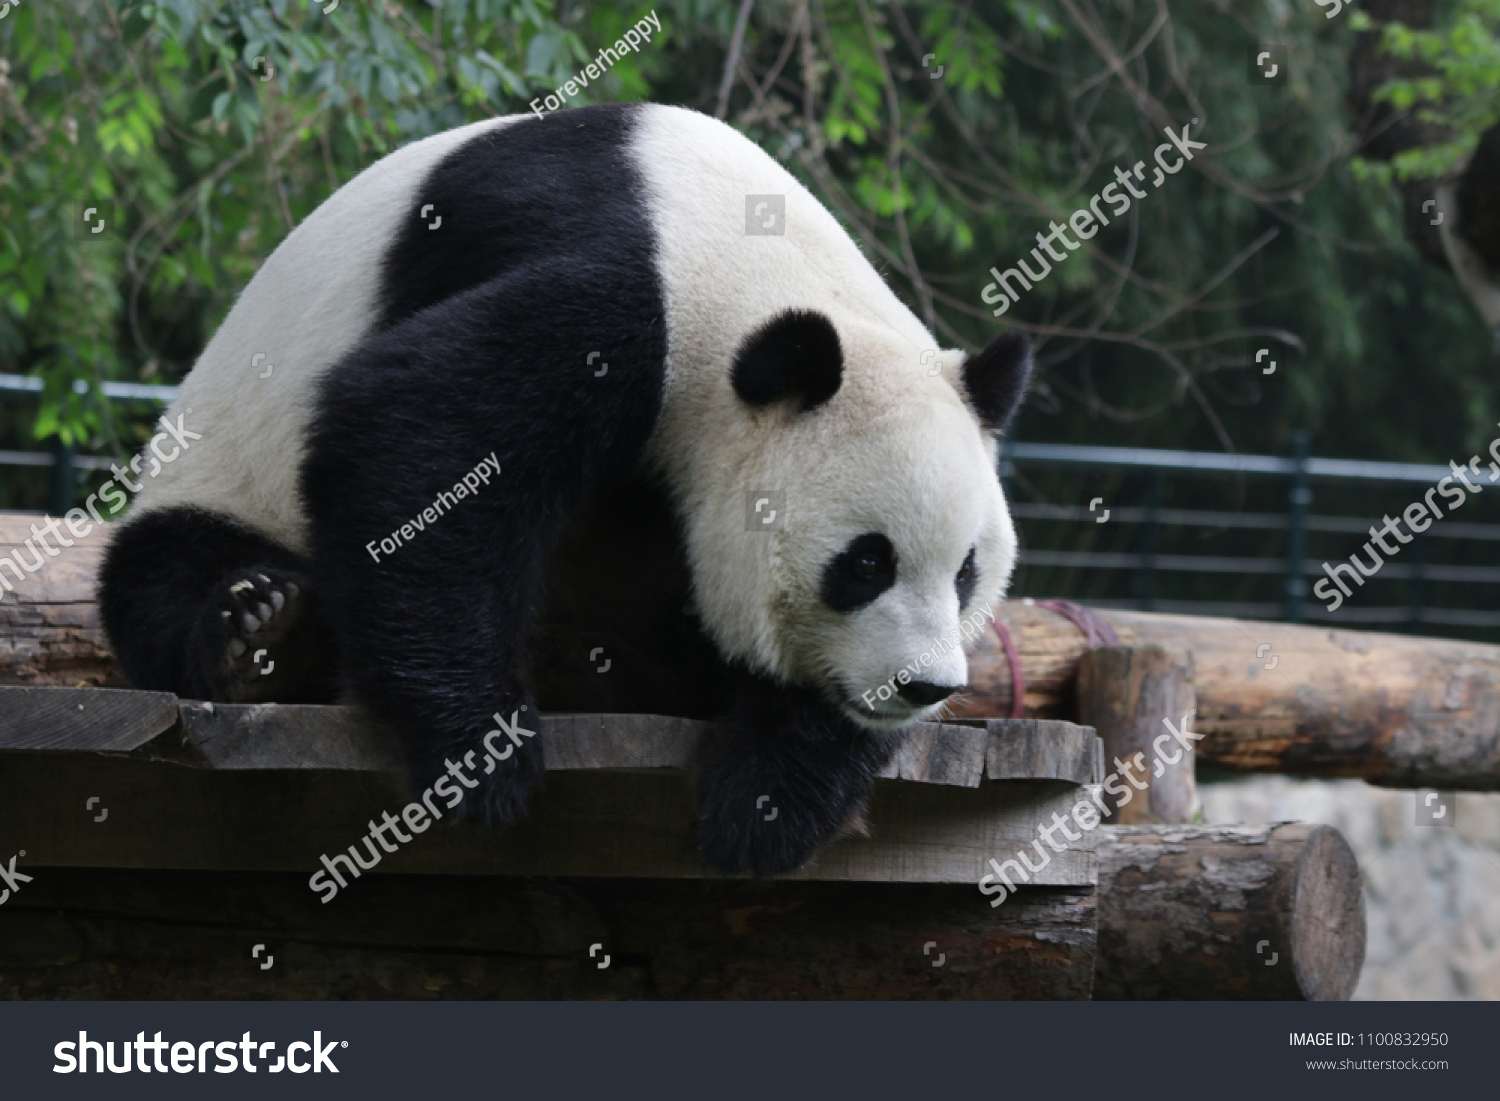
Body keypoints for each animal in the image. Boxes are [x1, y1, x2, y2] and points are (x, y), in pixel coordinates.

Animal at [96, 105, 1032, 882]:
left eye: (965, 573)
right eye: (866, 563)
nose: (924, 685)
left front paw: (769, 802)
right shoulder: (625, 303)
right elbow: (418, 432)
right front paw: (482, 759)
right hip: (221, 467)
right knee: (164, 571)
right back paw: (260, 630)